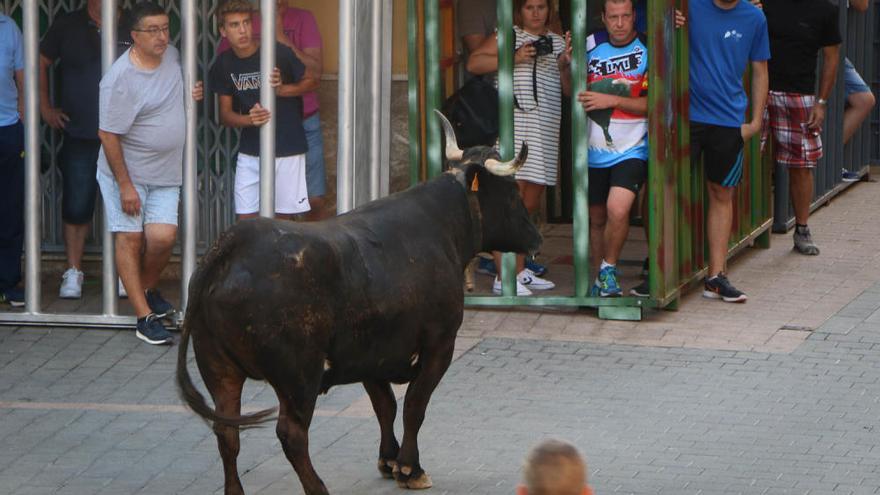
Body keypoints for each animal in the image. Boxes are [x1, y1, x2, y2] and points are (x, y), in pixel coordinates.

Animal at [176, 111, 542, 495]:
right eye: (512, 190)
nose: (536, 238)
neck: (440, 227)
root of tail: (232, 245)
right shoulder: (439, 344)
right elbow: (414, 405)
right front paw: (410, 468)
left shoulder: (372, 354)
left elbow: (385, 406)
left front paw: (389, 460)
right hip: (298, 376)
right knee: (291, 434)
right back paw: (318, 487)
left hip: (219, 369)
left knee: (227, 431)